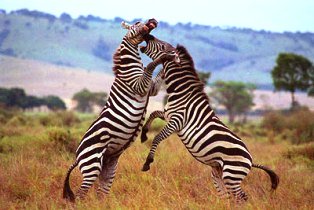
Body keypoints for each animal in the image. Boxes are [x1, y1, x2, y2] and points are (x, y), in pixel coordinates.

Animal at [62, 19, 178, 202]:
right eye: (137, 23)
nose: (153, 21)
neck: (129, 67)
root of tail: (77, 155)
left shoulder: (150, 89)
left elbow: (158, 72)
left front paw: (170, 57)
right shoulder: (140, 86)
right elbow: (151, 64)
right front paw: (165, 56)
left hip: (108, 165)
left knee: (101, 192)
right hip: (92, 165)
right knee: (80, 195)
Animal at [139, 34, 278, 202]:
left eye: (163, 46)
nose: (148, 35)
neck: (181, 92)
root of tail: (250, 160)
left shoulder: (177, 121)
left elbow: (157, 137)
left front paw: (148, 162)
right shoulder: (168, 114)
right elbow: (153, 114)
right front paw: (144, 134)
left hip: (232, 175)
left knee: (242, 198)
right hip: (218, 173)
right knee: (228, 198)